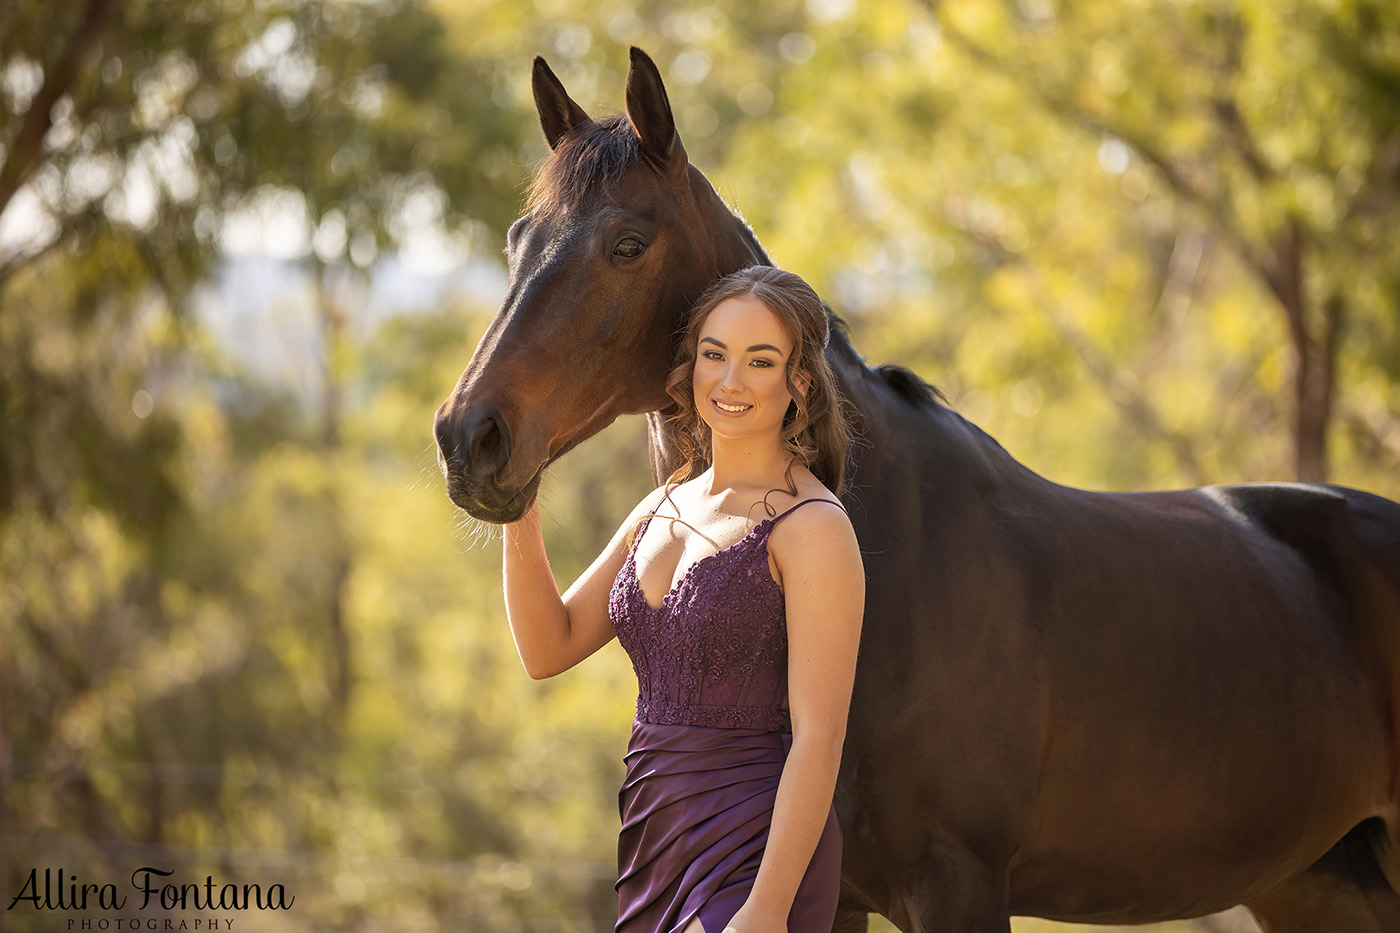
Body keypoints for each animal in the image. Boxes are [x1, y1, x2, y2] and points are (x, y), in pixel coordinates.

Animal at [431, 50, 1400, 930]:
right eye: (517, 240)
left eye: (627, 244)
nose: (468, 437)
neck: (890, 555)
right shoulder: (831, 890)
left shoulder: (958, 882)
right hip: (1318, 886)